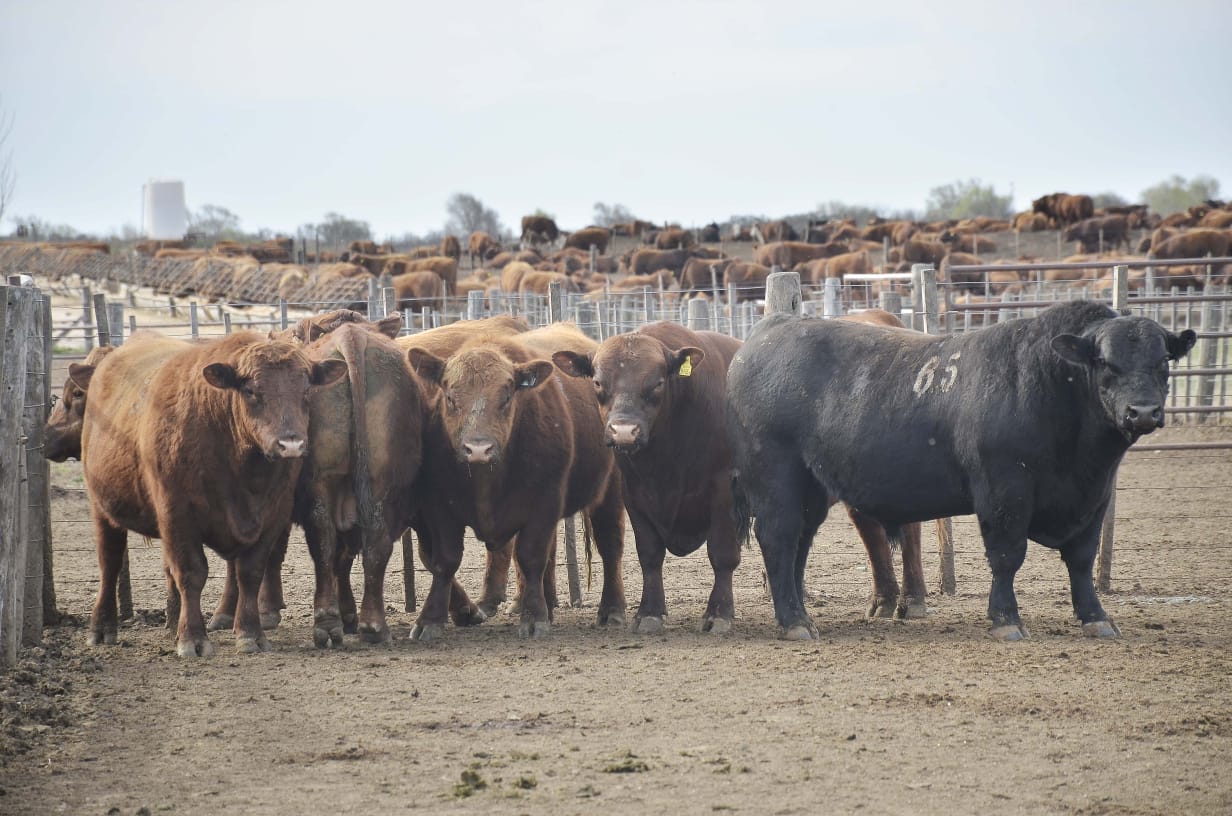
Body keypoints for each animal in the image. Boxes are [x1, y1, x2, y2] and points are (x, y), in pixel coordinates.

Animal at [78, 331, 348, 656]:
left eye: (306, 389)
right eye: (251, 390)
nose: (291, 444)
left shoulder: (272, 515)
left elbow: (250, 573)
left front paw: (250, 633)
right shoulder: (176, 514)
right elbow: (191, 573)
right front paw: (193, 638)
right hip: (102, 508)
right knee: (110, 564)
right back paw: (102, 628)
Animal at [405, 323, 627, 639]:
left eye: (506, 397)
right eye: (449, 397)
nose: (478, 449)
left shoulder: (544, 503)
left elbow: (530, 556)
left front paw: (534, 618)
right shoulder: (439, 509)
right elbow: (444, 560)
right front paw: (429, 620)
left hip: (610, 491)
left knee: (610, 545)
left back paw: (612, 609)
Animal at [727, 300, 1195, 641]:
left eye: (1162, 362)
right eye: (1105, 363)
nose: (1143, 412)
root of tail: (769, 331)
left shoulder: (1095, 497)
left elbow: (1082, 559)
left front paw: (1096, 617)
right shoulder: (1005, 491)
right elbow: (1007, 555)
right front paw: (1006, 619)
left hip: (811, 489)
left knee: (798, 544)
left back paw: (800, 617)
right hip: (775, 479)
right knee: (779, 538)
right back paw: (794, 622)